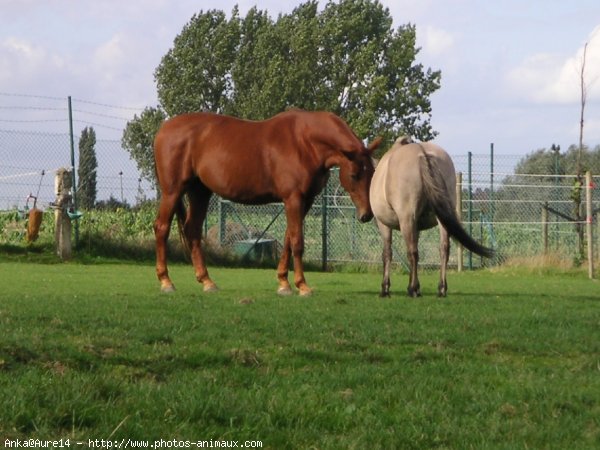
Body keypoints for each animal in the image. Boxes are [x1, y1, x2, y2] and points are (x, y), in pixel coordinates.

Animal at [154, 110, 380, 296]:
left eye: (372, 172)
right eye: (354, 175)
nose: (366, 214)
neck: (305, 142)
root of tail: (163, 130)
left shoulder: (305, 201)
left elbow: (288, 239)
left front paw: (283, 283)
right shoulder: (293, 198)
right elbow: (297, 242)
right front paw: (302, 285)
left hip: (199, 191)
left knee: (192, 230)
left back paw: (207, 281)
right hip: (173, 191)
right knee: (162, 228)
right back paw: (166, 282)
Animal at [370, 138, 492, 298]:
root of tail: (423, 153)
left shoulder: (385, 225)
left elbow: (387, 254)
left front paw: (385, 288)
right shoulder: (417, 227)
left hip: (406, 219)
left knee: (412, 252)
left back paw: (413, 289)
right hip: (442, 218)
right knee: (443, 249)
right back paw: (441, 288)